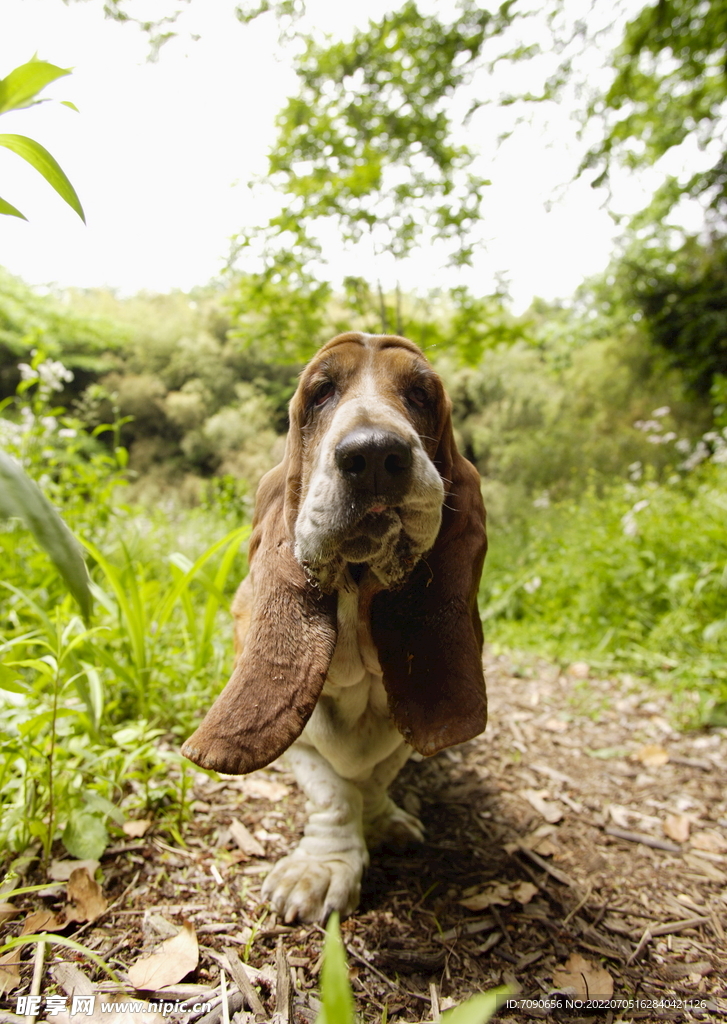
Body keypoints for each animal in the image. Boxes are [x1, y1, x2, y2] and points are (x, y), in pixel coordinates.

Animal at [182, 331, 489, 925]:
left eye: (420, 393)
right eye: (321, 392)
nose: (373, 455)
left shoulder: (401, 735)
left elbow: (373, 779)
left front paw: (385, 821)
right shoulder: (299, 744)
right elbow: (331, 791)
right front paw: (321, 867)